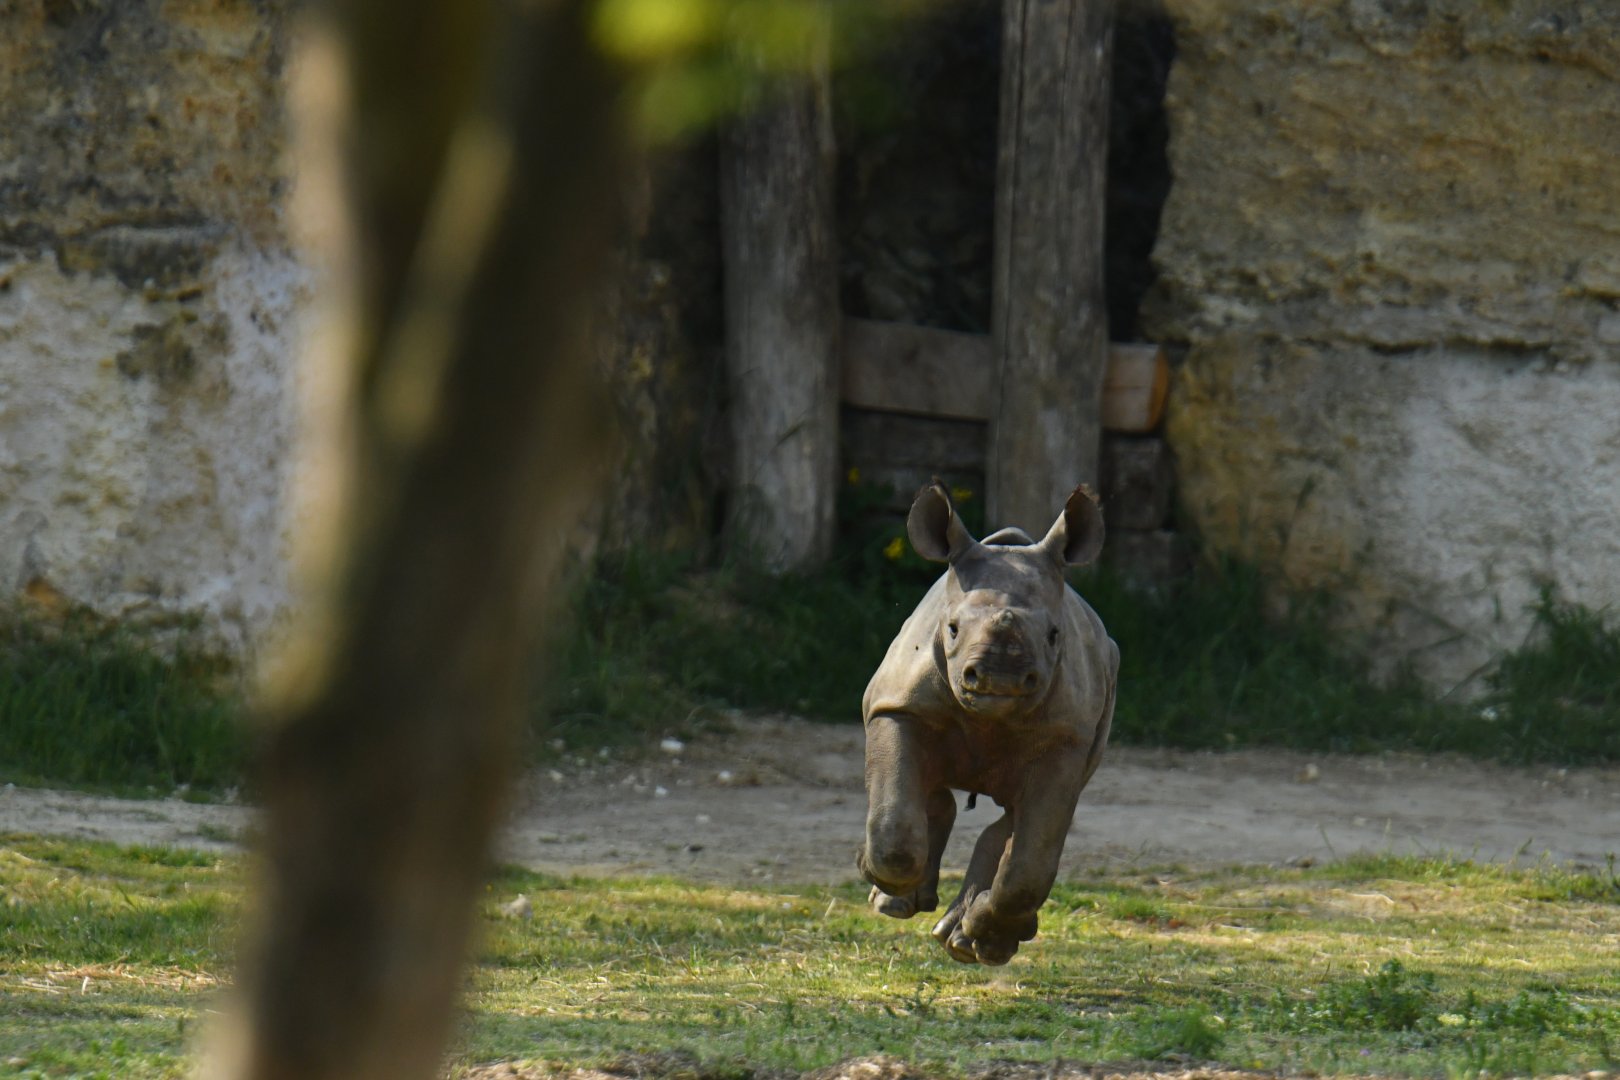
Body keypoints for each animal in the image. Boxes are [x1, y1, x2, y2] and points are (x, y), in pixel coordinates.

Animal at [857, 481, 1118, 965]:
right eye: (953, 629)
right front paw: (871, 868)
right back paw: (898, 904)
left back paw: (966, 943)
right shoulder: (896, 704)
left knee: (1019, 820)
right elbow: (894, 825)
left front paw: (986, 936)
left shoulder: (1065, 737)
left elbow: (1031, 862)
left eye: (1054, 635)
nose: (1001, 678)